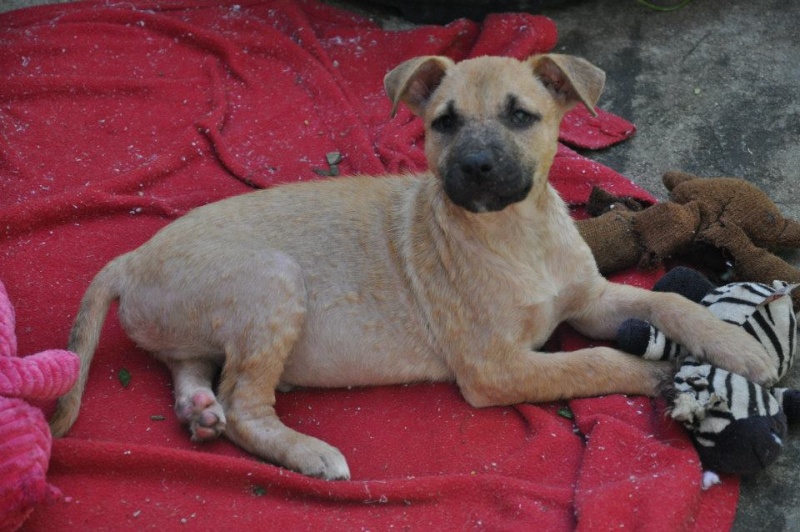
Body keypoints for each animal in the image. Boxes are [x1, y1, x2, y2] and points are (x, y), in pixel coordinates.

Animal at [50, 55, 776, 482]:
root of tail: (130, 258)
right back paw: (308, 452)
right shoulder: (495, 367)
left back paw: (198, 412)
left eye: (521, 115)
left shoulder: (591, 299)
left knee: (192, 370)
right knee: (245, 404)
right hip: (272, 281)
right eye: (443, 123)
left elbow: (666, 302)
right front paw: (669, 378)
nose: (476, 168)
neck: (517, 234)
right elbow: (595, 363)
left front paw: (739, 348)